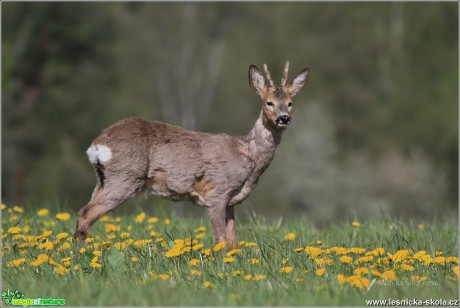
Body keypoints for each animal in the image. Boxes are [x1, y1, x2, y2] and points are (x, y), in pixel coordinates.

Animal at [73, 61, 310, 249]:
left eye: (290, 103)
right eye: (269, 102)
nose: (284, 118)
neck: (247, 156)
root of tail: (98, 144)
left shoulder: (231, 201)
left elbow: (234, 241)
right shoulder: (217, 192)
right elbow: (221, 240)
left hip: (103, 179)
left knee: (84, 212)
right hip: (125, 176)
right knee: (86, 213)